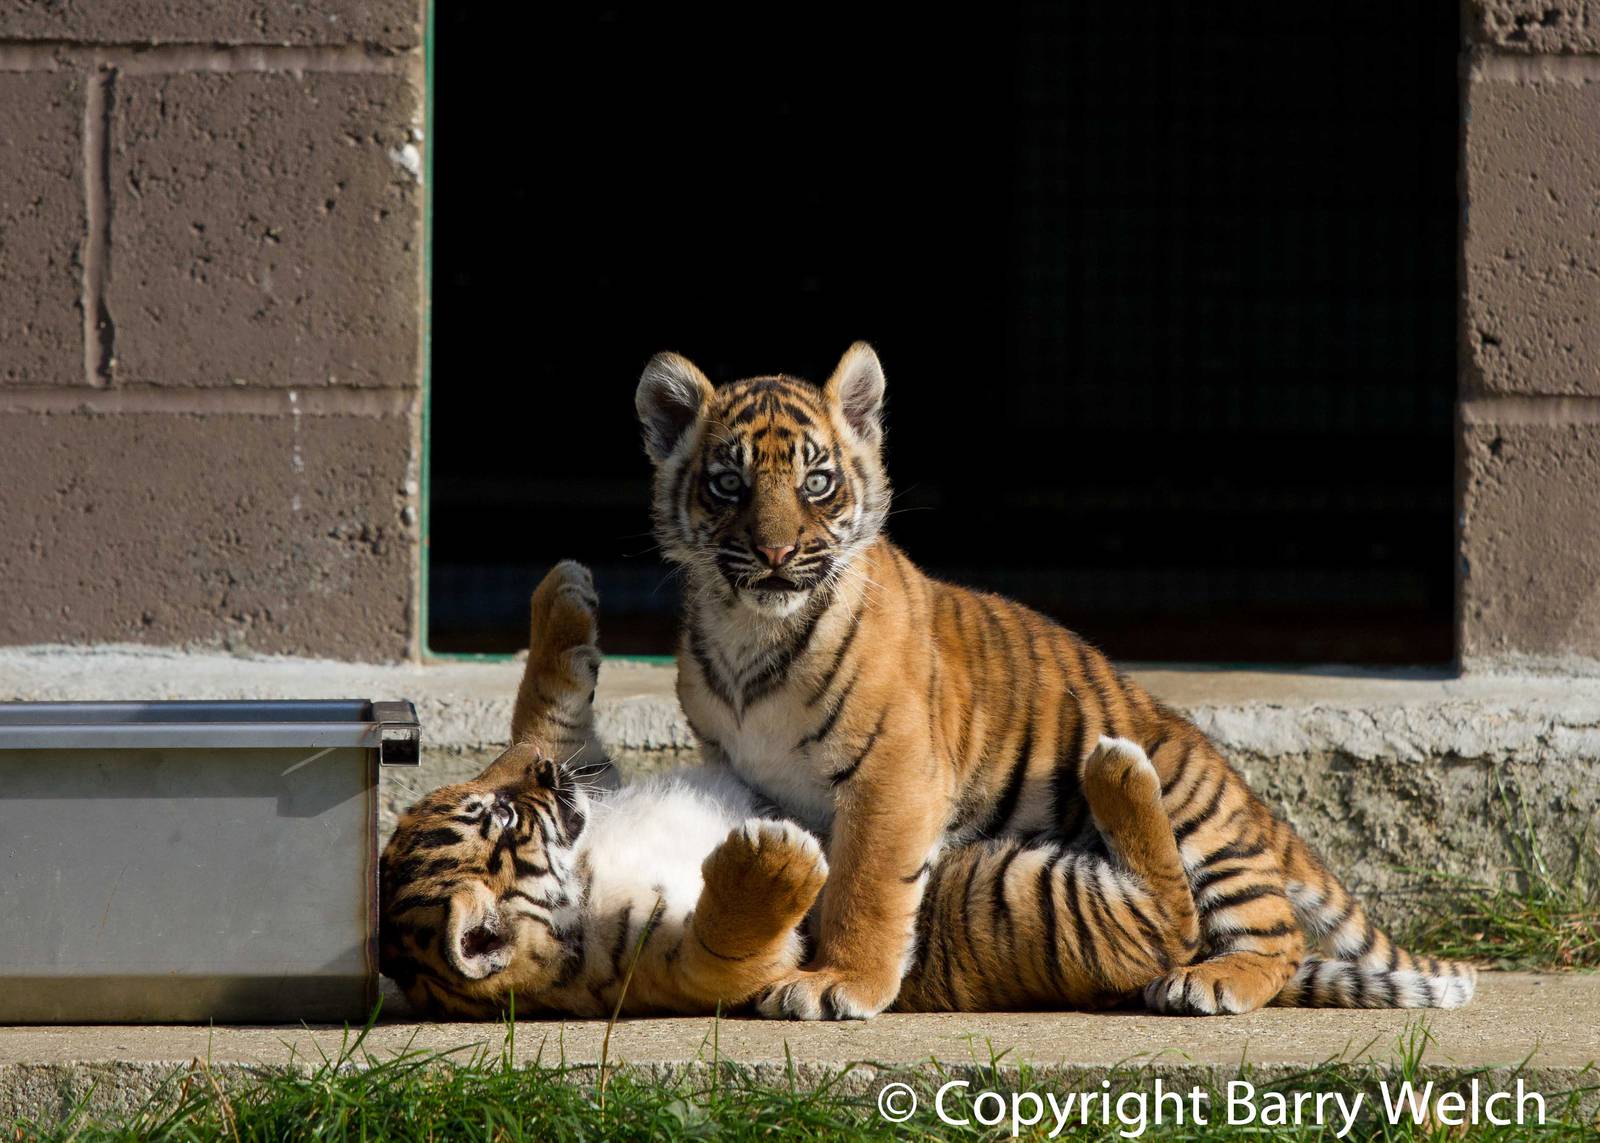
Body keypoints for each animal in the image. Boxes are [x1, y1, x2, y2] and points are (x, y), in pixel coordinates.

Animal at [379, 562, 1205, 1017]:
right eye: (505, 820)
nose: (547, 782)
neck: (584, 860)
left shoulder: (588, 767)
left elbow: (545, 706)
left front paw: (564, 594)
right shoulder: (691, 967)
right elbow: (729, 938)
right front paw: (775, 859)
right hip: (1012, 890)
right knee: (1166, 914)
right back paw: (1116, 767)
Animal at [634, 341, 1477, 1019]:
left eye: (816, 482)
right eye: (728, 485)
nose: (775, 554)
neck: (751, 633)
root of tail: (1248, 796)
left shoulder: (892, 776)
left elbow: (866, 887)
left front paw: (840, 980)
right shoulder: (743, 769)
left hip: (1193, 808)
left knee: (1266, 927)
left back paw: (1214, 980)